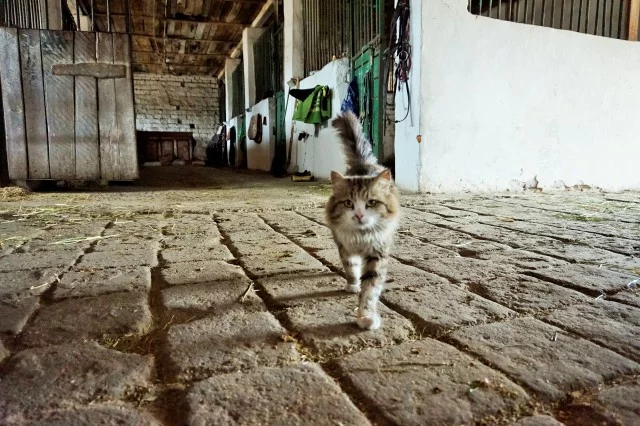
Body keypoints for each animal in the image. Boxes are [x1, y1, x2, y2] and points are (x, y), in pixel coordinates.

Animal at [325, 112, 401, 330]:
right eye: (348, 203)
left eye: (371, 203)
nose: (359, 215)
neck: (361, 237)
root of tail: (362, 164)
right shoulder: (344, 246)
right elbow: (351, 267)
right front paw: (353, 285)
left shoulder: (377, 253)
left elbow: (370, 289)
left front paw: (366, 316)